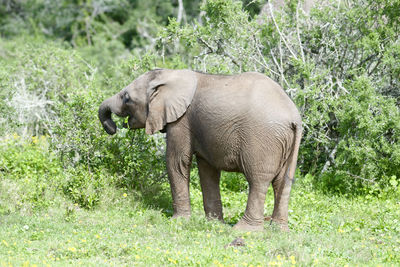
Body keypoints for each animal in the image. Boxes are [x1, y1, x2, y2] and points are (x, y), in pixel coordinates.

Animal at [98, 69, 302, 232]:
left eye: (126, 98)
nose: (112, 128)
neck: (171, 75)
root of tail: (294, 117)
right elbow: (207, 170)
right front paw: (213, 223)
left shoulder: (181, 121)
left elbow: (176, 162)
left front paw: (178, 221)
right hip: (286, 142)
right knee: (283, 182)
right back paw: (279, 230)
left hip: (262, 139)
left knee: (258, 180)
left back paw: (244, 231)